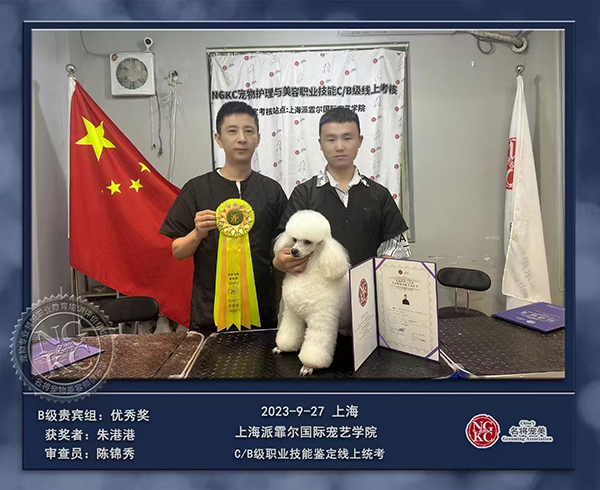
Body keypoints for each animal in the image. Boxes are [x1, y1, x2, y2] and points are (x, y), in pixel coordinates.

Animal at [273, 210, 351, 376]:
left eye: (308, 242)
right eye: (294, 239)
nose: (294, 251)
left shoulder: (321, 320)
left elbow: (316, 346)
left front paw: (309, 365)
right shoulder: (292, 314)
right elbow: (289, 333)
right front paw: (283, 347)